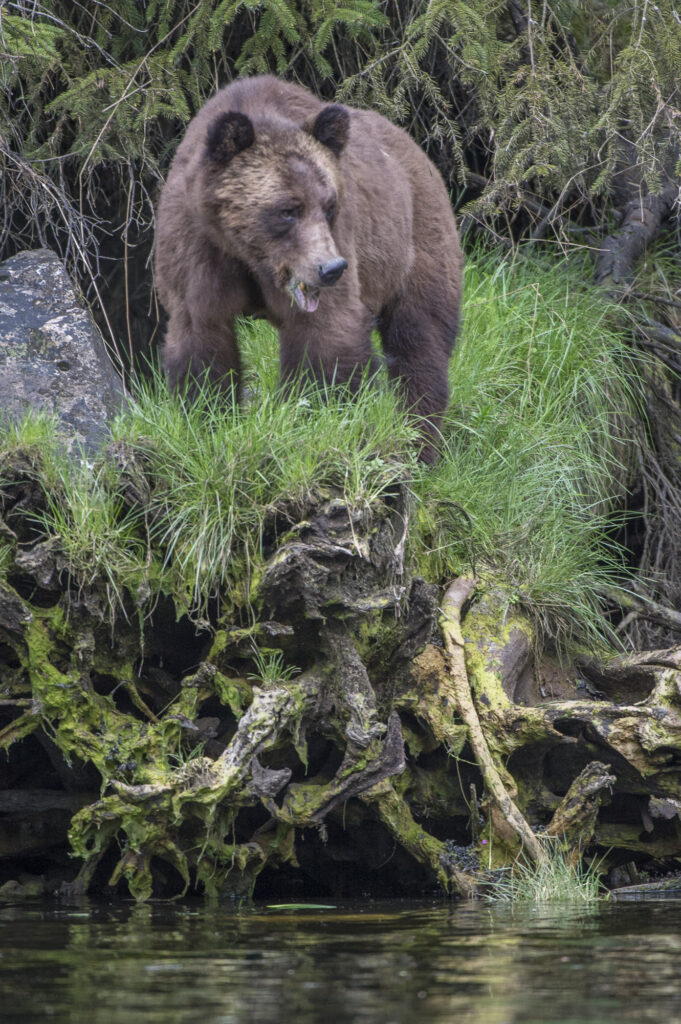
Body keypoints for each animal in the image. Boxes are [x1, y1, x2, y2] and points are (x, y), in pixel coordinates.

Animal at [155, 75, 463, 461]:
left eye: (329, 206)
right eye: (288, 210)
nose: (330, 268)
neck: (250, 255)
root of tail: (418, 150)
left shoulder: (340, 242)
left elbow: (327, 334)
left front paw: (312, 415)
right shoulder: (197, 248)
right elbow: (201, 338)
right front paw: (207, 418)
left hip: (413, 241)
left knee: (420, 336)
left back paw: (418, 438)